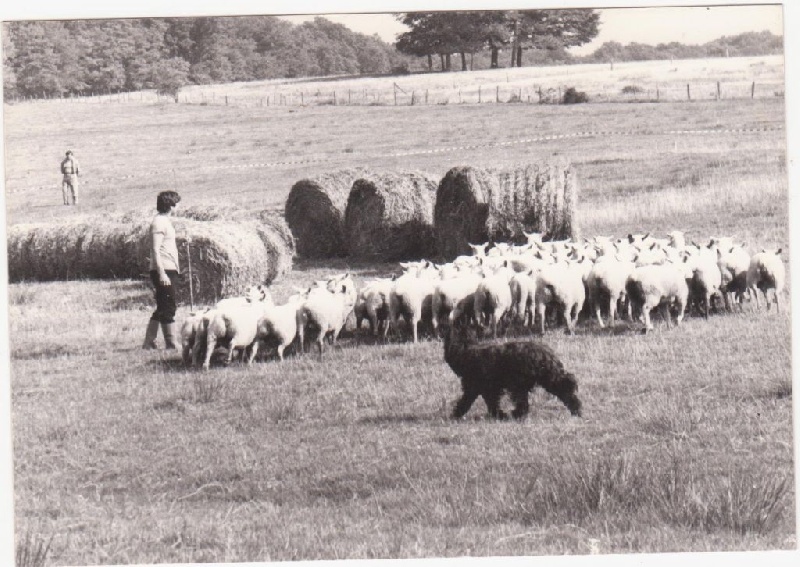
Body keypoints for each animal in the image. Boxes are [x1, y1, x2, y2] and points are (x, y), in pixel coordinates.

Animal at [444, 322, 580, 420]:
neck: (466, 350)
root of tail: (547, 355)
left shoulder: (479, 387)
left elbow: (467, 402)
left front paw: (455, 416)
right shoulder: (489, 389)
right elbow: (490, 403)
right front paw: (499, 415)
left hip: (522, 382)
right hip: (542, 378)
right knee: (563, 387)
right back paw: (576, 409)